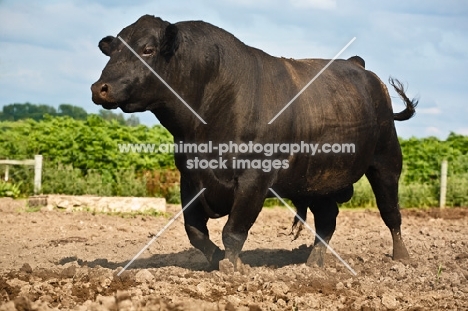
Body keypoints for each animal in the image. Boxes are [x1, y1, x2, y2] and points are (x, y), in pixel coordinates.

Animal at [90, 15, 416, 270]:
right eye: (112, 51)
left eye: (147, 49)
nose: (99, 88)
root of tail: (359, 66)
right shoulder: (190, 178)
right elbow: (195, 231)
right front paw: (216, 259)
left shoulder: (255, 178)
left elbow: (233, 230)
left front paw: (233, 266)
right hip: (318, 180)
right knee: (327, 220)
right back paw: (313, 263)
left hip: (386, 161)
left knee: (391, 213)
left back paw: (402, 259)